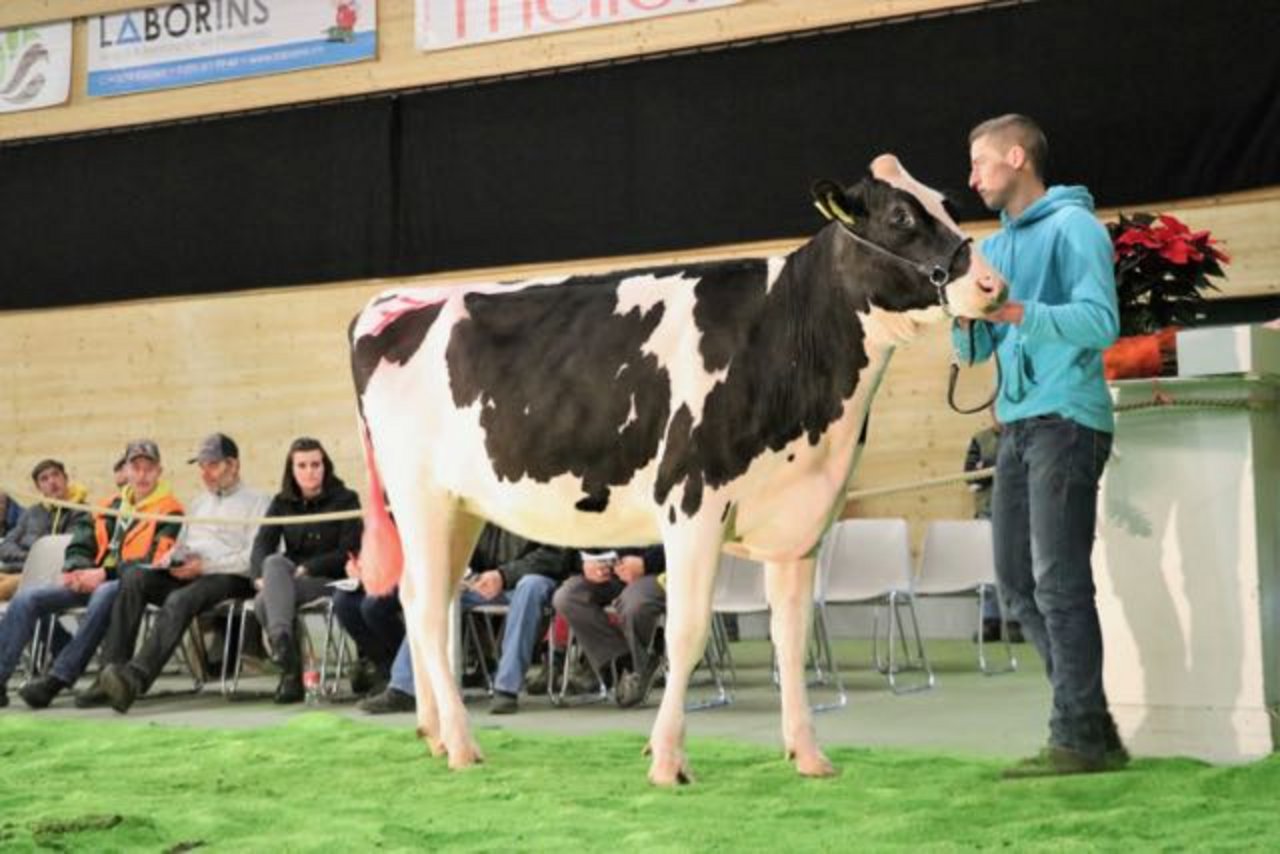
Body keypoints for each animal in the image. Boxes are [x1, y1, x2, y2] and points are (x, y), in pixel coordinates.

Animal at [348, 155, 998, 788]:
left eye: (950, 203)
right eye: (900, 217)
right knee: (428, 611)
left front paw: (808, 755)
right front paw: (666, 759)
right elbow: (685, 632)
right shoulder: (692, 502)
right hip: (421, 495)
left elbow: (791, 638)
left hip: (460, 508)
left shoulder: (800, 521)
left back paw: (433, 733)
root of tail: (393, 302)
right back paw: (460, 744)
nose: (993, 283)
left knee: (419, 598)